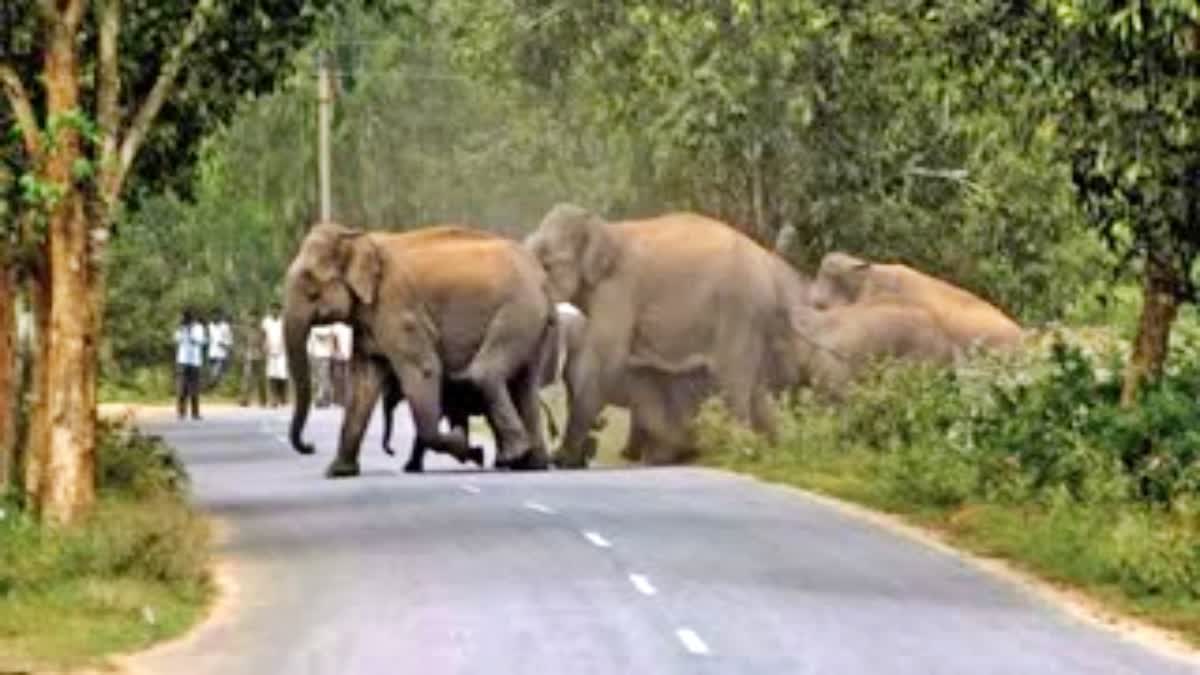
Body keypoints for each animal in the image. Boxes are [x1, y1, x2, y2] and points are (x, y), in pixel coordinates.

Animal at [285, 223, 552, 475]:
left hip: (519, 309)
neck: (357, 237)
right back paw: (530, 464)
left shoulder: (398, 307)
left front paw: (467, 446)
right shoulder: (370, 317)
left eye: (312, 289)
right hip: (532, 321)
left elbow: (423, 369)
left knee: (486, 373)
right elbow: (363, 382)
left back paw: (513, 456)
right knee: (524, 386)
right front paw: (338, 472)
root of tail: (539, 273)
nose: (310, 447)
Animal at [528, 204, 801, 468]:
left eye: (547, 264)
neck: (604, 228)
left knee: (732, 378)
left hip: (739, 310)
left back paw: (740, 450)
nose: (600, 425)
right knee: (754, 385)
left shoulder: (618, 291)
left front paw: (565, 460)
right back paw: (772, 450)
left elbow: (606, 361)